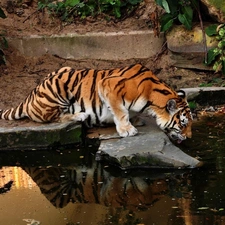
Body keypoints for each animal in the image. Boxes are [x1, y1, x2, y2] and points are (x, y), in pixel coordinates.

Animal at [0, 63, 193, 142]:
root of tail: (29, 97)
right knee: (52, 117)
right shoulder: (108, 85)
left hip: (63, 69)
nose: (190, 137)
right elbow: (121, 112)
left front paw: (136, 120)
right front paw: (127, 130)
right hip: (57, 88)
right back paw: (80, 115)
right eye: (183, 124)